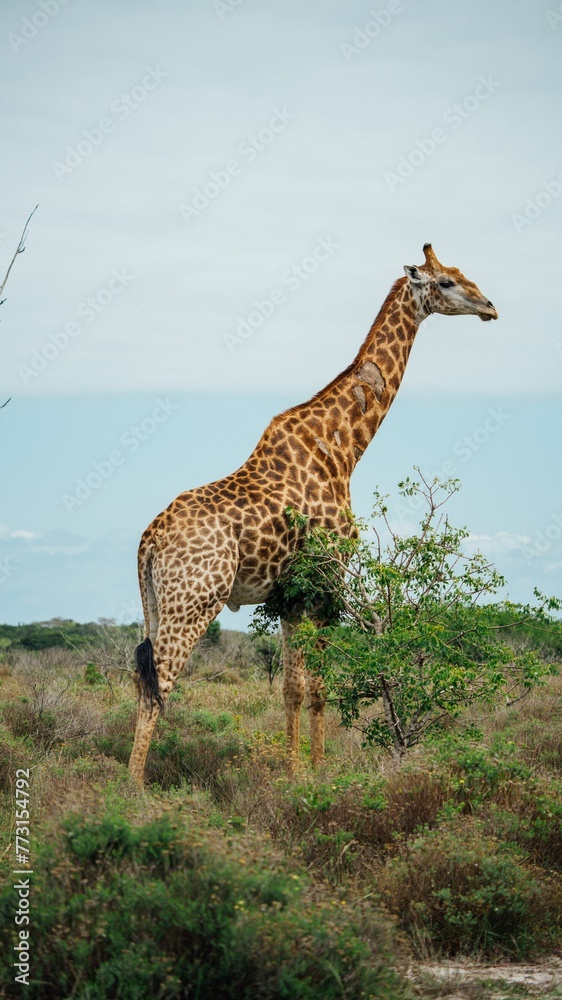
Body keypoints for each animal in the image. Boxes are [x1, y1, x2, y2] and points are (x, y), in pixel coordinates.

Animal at [128, 243, 497, 783]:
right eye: (447, 281)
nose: (491, 307)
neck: (343, 448)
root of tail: (148, 540)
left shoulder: (289, 596)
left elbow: (290, 688)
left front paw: (295, 768)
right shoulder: (327, 581)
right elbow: (318, 687)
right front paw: (316, 774)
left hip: (154, 604)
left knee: (141, 680)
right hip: (194, 600)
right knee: (161, 689)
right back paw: (132, 790)